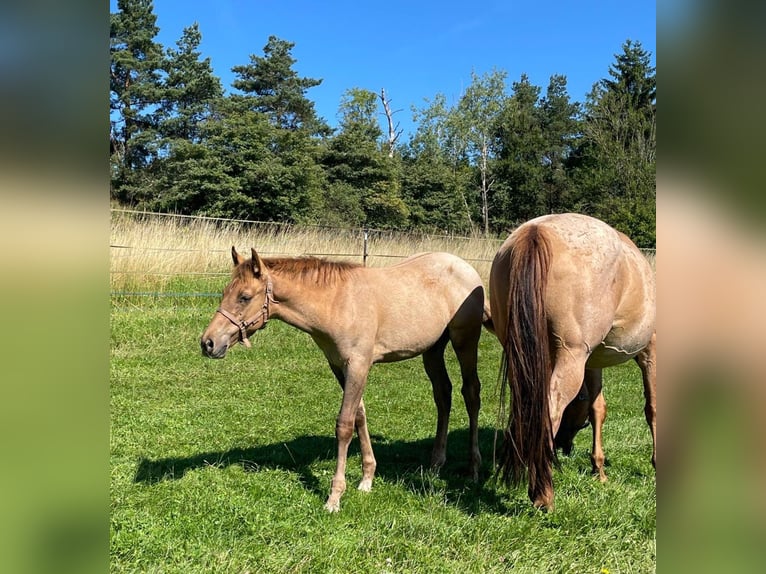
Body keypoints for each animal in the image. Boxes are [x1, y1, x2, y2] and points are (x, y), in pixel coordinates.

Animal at [201, 247, 489, 512]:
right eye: (225, 292)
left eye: (245, 297)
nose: (208, 343)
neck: (336, 302)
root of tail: (466, 268)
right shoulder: (339, 366)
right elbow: (359, 416)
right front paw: (367, 479)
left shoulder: (358, 365)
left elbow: (344, 425)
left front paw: (334, 497)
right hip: (432, 350)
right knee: (443, 394)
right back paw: (435, 465)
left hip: (465, 341)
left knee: (471, 393)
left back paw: (473, 469)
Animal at [489, 213, 656, 510]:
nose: (564, 446)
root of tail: (537, 232)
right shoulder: (650, 352)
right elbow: (653, 408)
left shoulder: (592, 362)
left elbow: (598, 407)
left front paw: (598, 469)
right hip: (571, 356)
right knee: (550, 407)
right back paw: (543, 494)